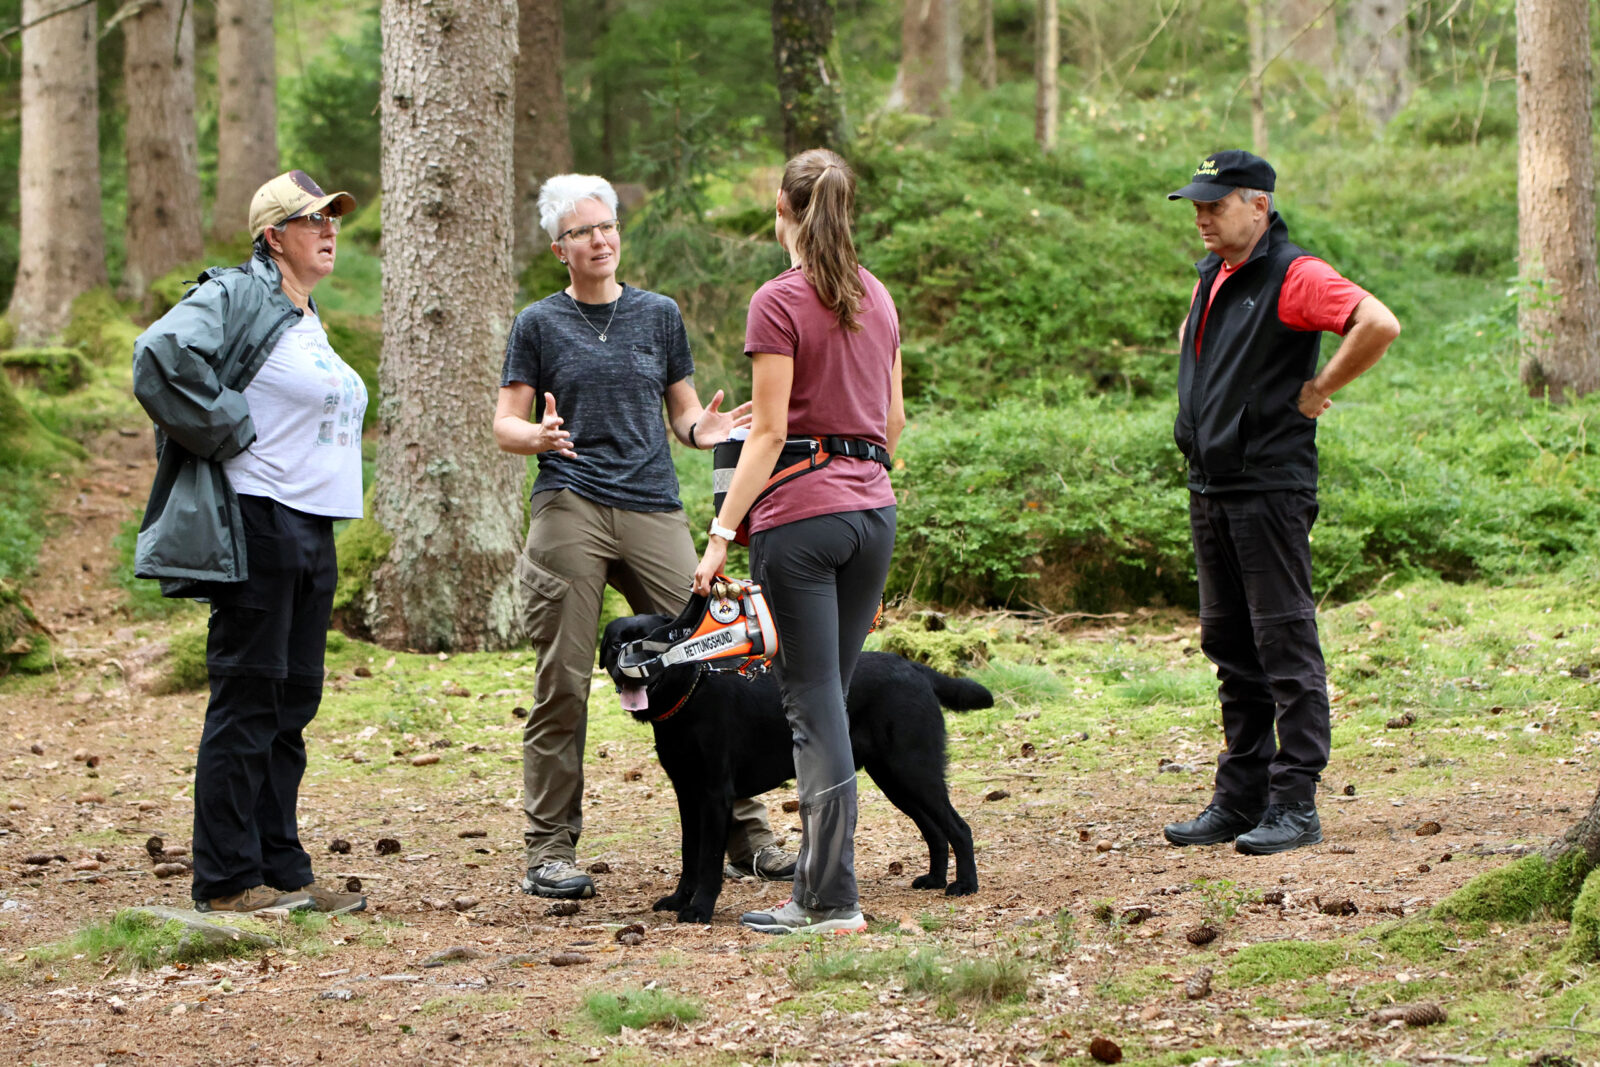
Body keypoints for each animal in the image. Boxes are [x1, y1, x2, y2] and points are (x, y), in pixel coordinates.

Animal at [595, 617, 979, 927]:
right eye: (615, 643)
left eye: (652, 643)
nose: (628, 663)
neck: (690, 697)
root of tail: (914, 667)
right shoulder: (687, 795)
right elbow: (689, 855)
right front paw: (678, 899)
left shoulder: (716, 796)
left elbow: (708, 861)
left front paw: (699, 909)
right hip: (895, 779)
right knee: (935, 830)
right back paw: (934, 879)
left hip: (913, 770)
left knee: (959, 828)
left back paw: (965, 885)